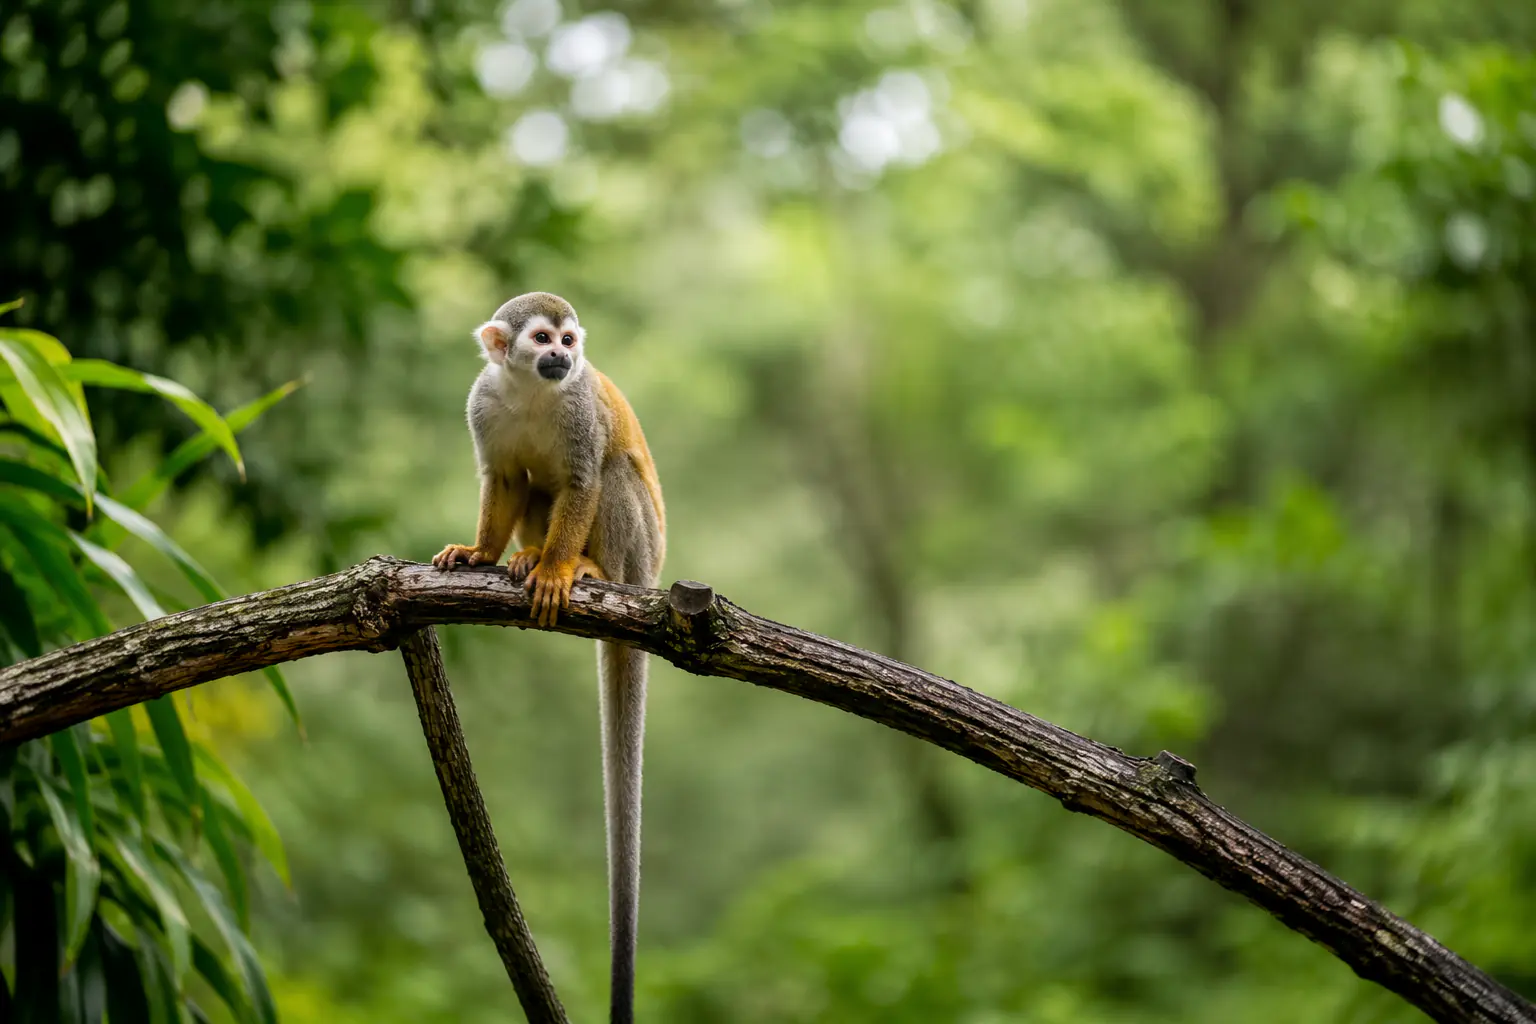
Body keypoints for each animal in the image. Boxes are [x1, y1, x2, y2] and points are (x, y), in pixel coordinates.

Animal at [433, 292, 665, 1024]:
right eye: (541, 340)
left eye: (568, 341)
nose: (563, 357)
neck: (533, 391)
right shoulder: (482, 401)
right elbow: (505, 477)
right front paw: (479, 552)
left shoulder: (580, 408)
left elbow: (586, 479)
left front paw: (561, 570)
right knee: (537, 484)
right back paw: (527, 554)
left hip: (642, 557)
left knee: (609, 473)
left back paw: (585, 567)